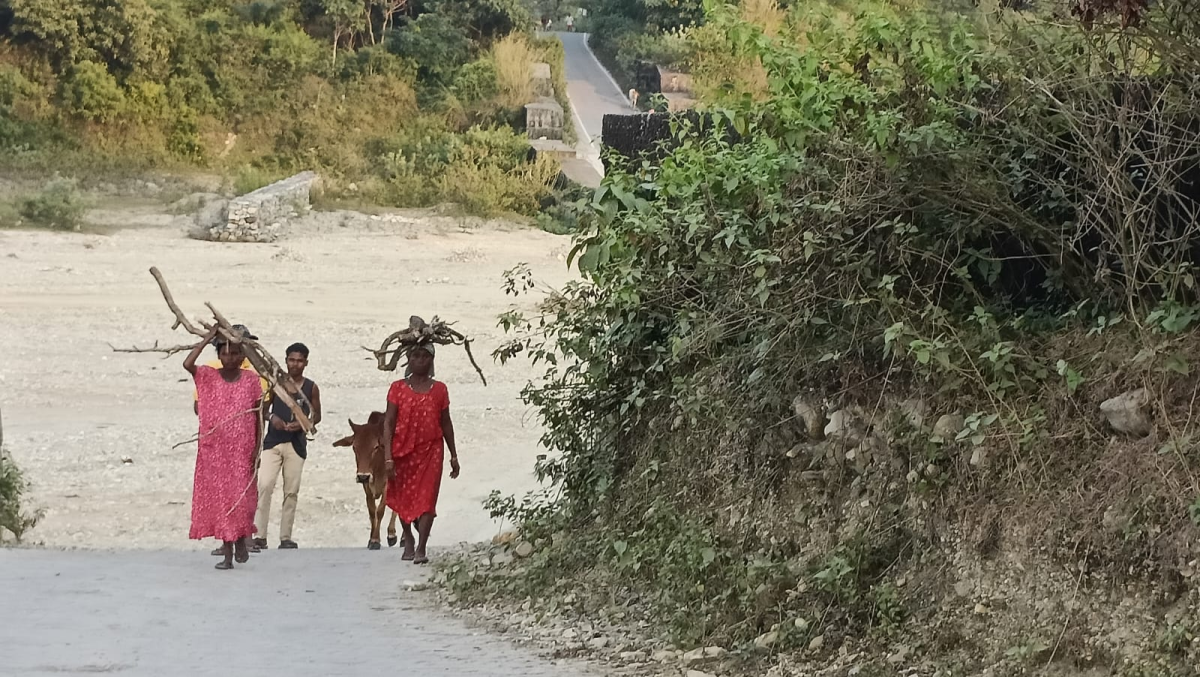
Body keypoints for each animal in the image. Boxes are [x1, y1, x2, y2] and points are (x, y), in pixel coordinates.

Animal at [332, 413, 399, 550]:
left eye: (376, 447)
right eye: (354, 447)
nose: (363, 476)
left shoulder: (387, 485)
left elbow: (380, 511)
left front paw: (376, 540)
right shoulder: (366, 487)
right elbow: (372, 511)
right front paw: (371, 539)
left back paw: (393, 535)